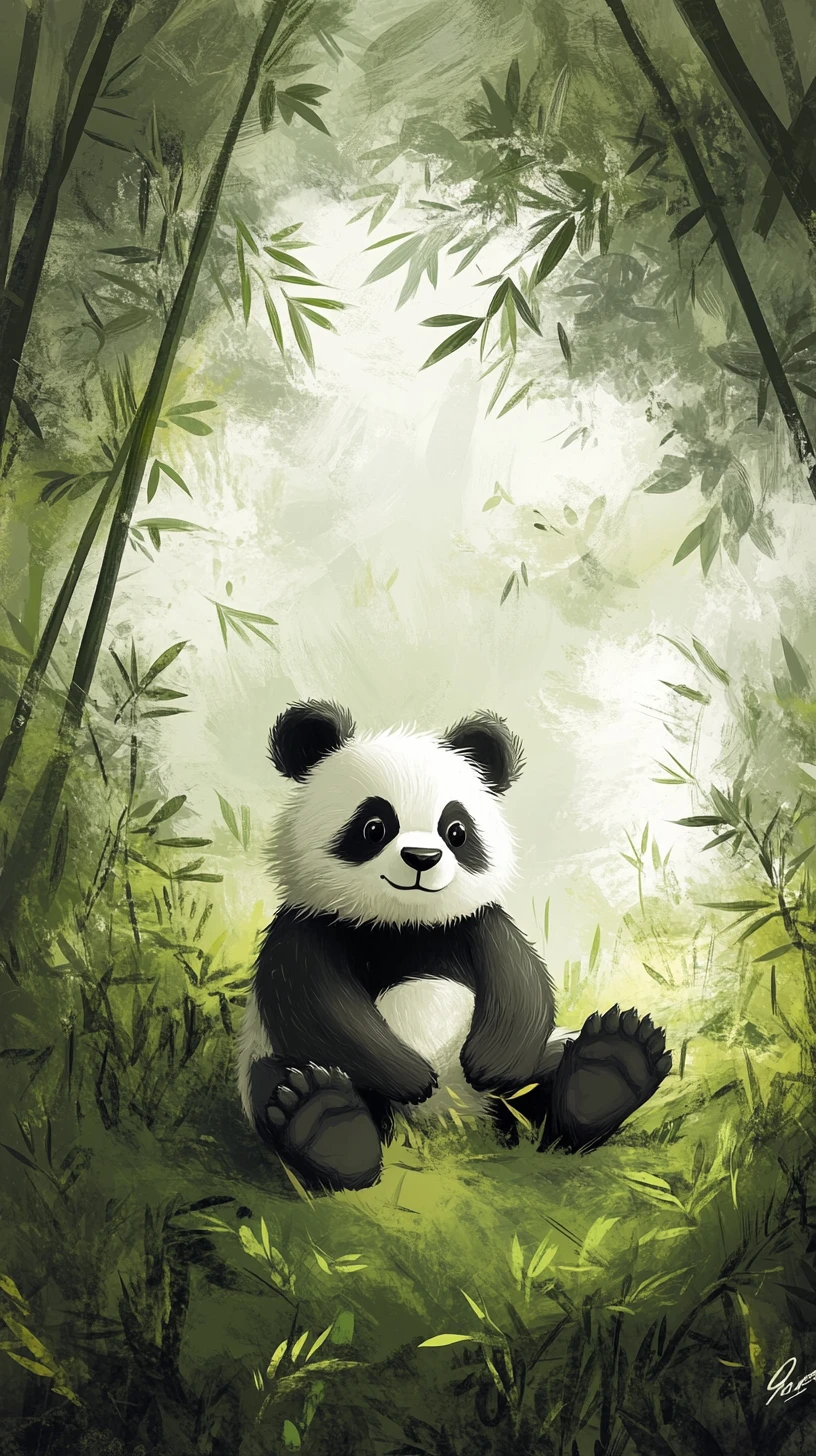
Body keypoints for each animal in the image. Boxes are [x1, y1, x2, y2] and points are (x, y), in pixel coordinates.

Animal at [237, 700, 672, 1191]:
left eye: (457, 830)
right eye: (373, 827)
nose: (422, 860)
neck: (406, 926)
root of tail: (448, 1131)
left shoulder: (476, 922)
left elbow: (522, 983)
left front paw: (490, 1062)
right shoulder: (311, 924)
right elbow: (314, 1004)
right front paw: (409, 1075)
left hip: (528, 1078)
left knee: (544, 1083)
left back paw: (611, 1069)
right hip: (273, 1064)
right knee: (283, 1086)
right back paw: (326, 1122)